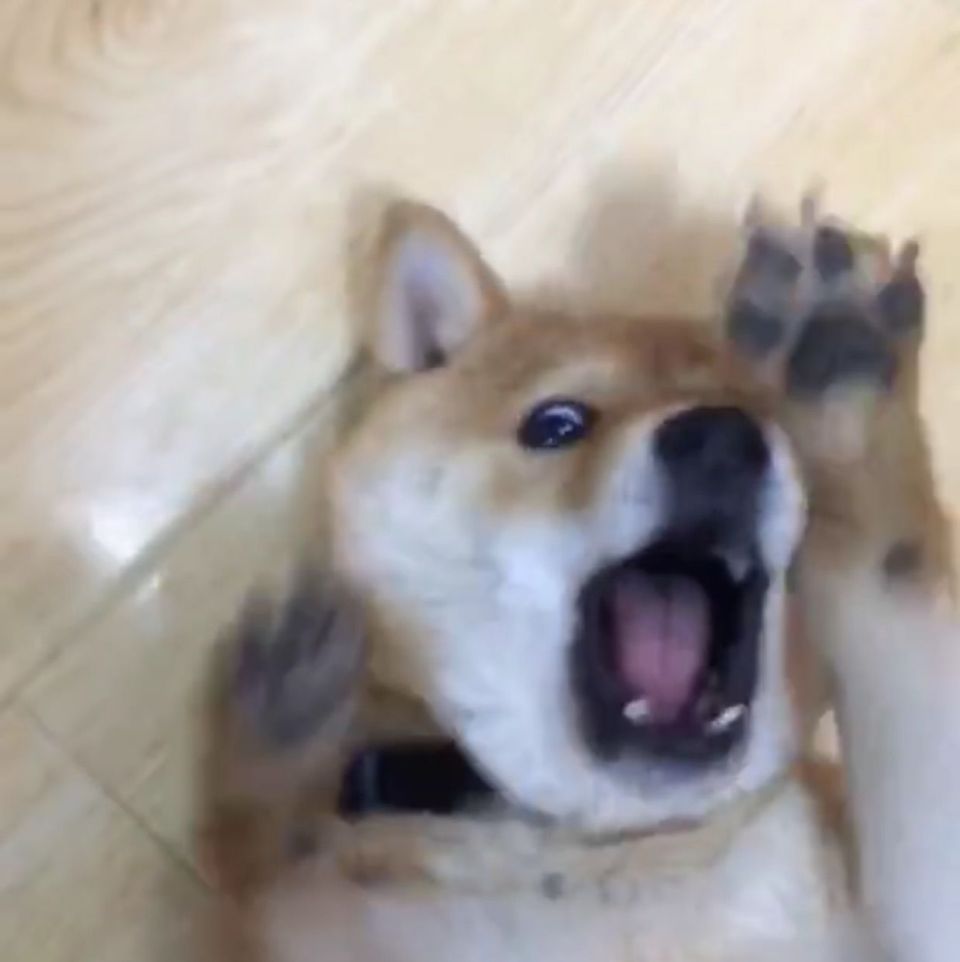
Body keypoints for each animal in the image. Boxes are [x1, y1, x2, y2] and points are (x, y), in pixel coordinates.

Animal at [198, 196, 957, 961]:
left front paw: (848, 394)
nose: (722, 438)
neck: (592, 844)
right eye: (556, 424)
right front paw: (279, 749)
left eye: (777, 427)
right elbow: (264, 866)